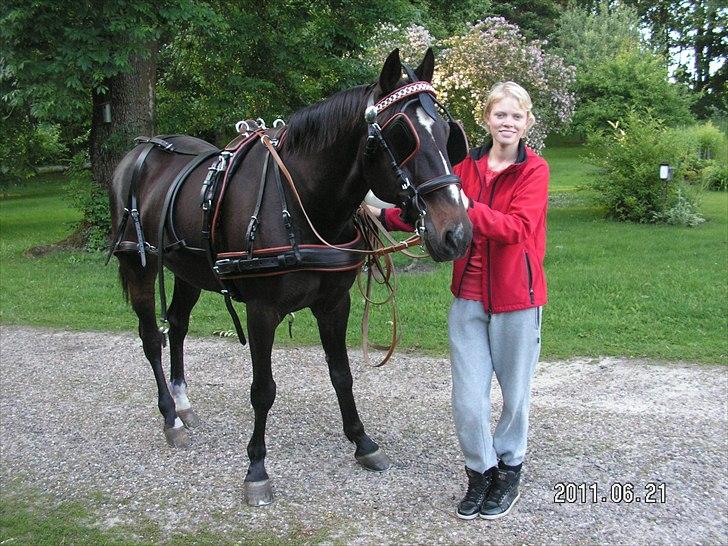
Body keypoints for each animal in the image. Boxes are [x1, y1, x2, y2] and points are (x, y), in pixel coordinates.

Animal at [108, 49, 472, 504]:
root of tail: (139, 151)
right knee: (150, 337)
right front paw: (256, 468)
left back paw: (183, 402)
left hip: (188, 269)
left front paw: (363, 443)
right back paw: (170, 417)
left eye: (447, 134)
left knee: (176, 324)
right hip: (138, 263)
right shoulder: (261, 311)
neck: (302, 201)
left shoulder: (334, 304)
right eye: (403, 136)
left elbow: (342, 375)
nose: (456, 234)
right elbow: (263, 390)